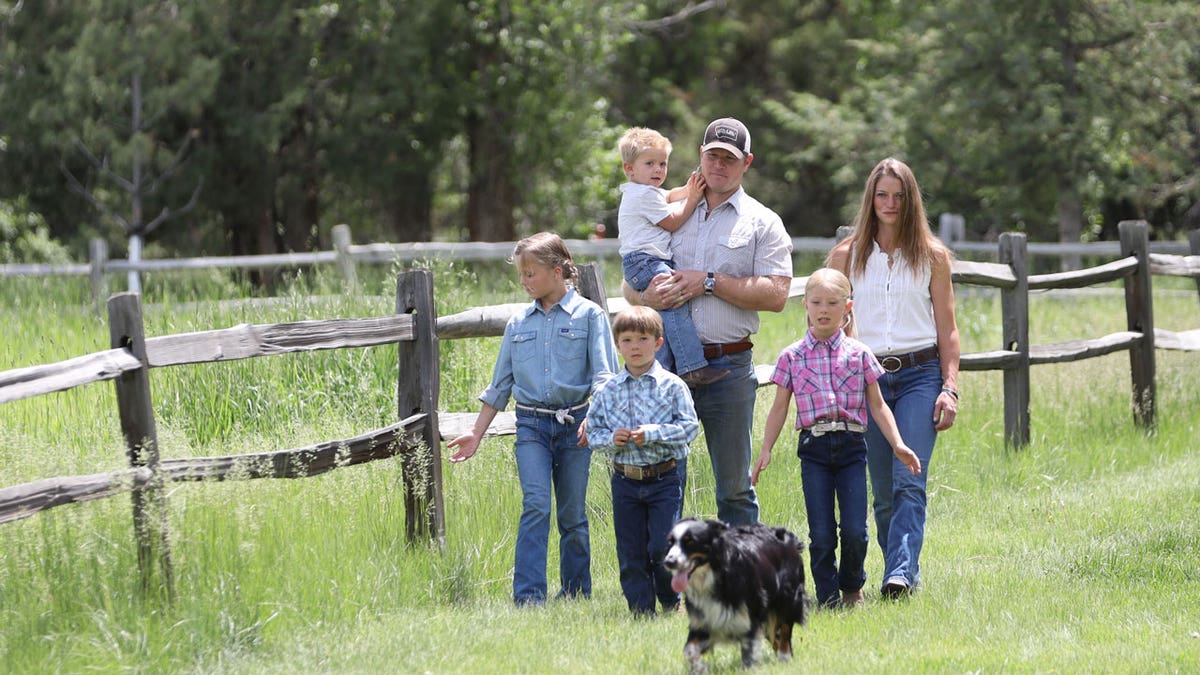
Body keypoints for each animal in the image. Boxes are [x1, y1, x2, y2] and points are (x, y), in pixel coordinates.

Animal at [662, 516, 811, 667]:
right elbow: (689, 650)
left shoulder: (750, 617)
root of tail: (789, 537)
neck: (714, 575)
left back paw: (784, 657)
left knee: (785, 630)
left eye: (690, 541)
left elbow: (749, 653)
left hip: (788, 598)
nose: (668, 562)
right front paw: (699, 668)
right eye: (670, 542)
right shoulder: (704, 621)